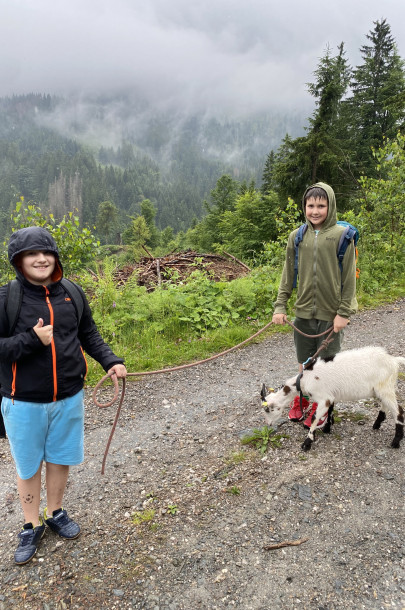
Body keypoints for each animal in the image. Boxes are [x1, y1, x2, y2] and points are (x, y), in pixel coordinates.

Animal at [260, 344, 402, 448]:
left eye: (268, 410)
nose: (268, 424)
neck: (304, 380)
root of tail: (394, 360)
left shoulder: (323, 398)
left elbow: (315, 418)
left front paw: (307, 442)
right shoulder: (330, 396)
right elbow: (330, 411)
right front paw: (327, 428)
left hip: (385, 387)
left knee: (398, 411)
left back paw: (396, 441)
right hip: (380, 389)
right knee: (385, 404)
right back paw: (377, 424)